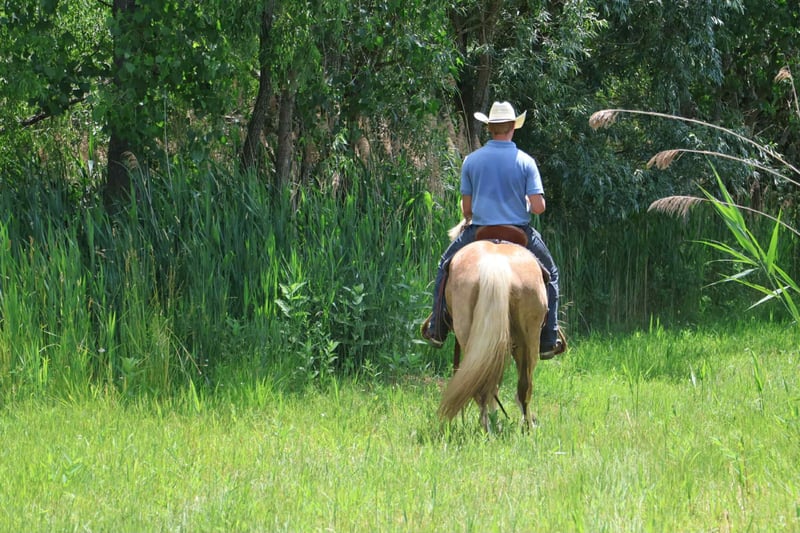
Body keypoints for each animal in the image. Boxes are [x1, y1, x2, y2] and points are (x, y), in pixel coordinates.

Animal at [437, 223, 549, 432]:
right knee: (523, 386)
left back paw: (488, 428)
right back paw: (523, 426)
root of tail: (495, 264)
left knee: (485, 385)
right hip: (530, 338)